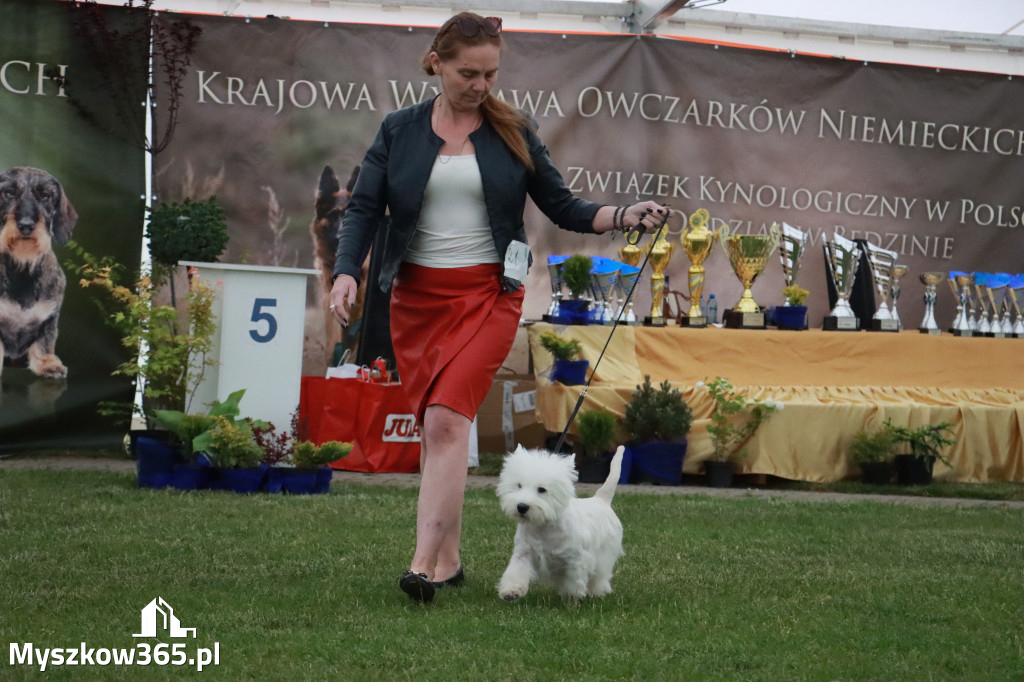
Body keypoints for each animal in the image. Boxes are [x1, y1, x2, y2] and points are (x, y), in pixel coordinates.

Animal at [495, 440, 622, 602]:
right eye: (518, 485)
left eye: (542, 489)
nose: (522, 507)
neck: (543, 526)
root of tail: (601, 500)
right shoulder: (523, 552)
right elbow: (516, 572)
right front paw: (511, 592)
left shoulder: (576, 559)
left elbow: (574, 580)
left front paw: (572, 597)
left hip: (604, 554)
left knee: (600, 576)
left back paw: (598, 592)